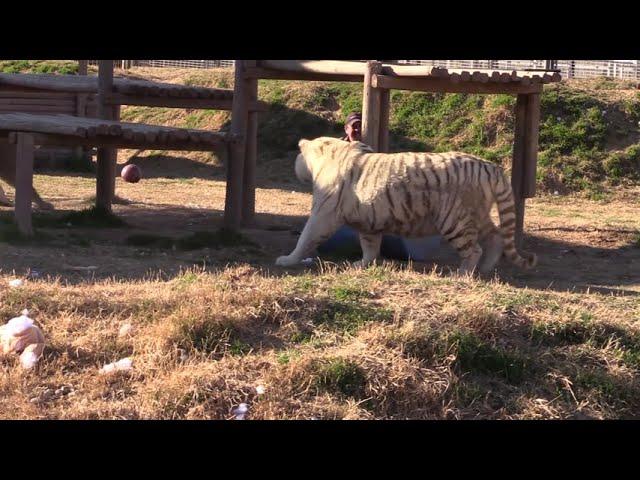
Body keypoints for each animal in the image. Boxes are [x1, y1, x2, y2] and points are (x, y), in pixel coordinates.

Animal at [276, 137, 536, 276]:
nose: (297, 152)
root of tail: (490, 167)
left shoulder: (324, 213)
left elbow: (306, 237)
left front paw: (287, 259)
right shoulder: (368, 221)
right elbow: (370, 246)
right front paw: (361, 264)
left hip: (455, 219)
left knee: (474, 250)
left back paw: (462, 274)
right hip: (478, 214)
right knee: (496, 236)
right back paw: (485, 268)